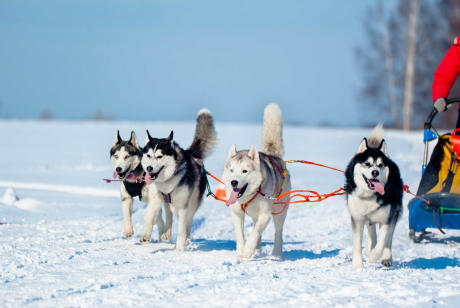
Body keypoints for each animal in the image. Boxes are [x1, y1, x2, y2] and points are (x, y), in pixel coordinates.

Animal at [141, 109, 218, 251]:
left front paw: (179, 249)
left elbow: (182, 228)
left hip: (191, 203)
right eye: (148, 155)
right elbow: (150, 215)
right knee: (169, 214)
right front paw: (146, 235)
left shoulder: (183, 206)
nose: (149, 168)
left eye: (159, 156)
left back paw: (186, 240)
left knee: (188, 222)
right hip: (169, 202)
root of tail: (191, 153)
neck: (168, 180)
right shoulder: (155, 198)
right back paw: (167, 233)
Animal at [222, 103, 292, 258]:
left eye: (244, 171)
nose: (233, 182)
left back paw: (276, 253)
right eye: (231, 170)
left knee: (278, 232)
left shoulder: (265, 215)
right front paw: (241, 250)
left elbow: (255, 232)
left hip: (279, 211)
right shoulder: (236, 213)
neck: (250, 195)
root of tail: (274, 156)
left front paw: (248, 250)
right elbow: (240, 234)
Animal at [344, 126, 402, 268]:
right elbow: (357, 245)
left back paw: (386, 257)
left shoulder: (386, 219)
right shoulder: (357, 218)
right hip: (369, 218)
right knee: (372, 232)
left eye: (380, 165)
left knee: (388, 239)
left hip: (394, 213)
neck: (368, 196)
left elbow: (382, 242)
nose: (375, 172)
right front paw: (358, 266)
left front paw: (373, 257)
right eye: (367, 164)